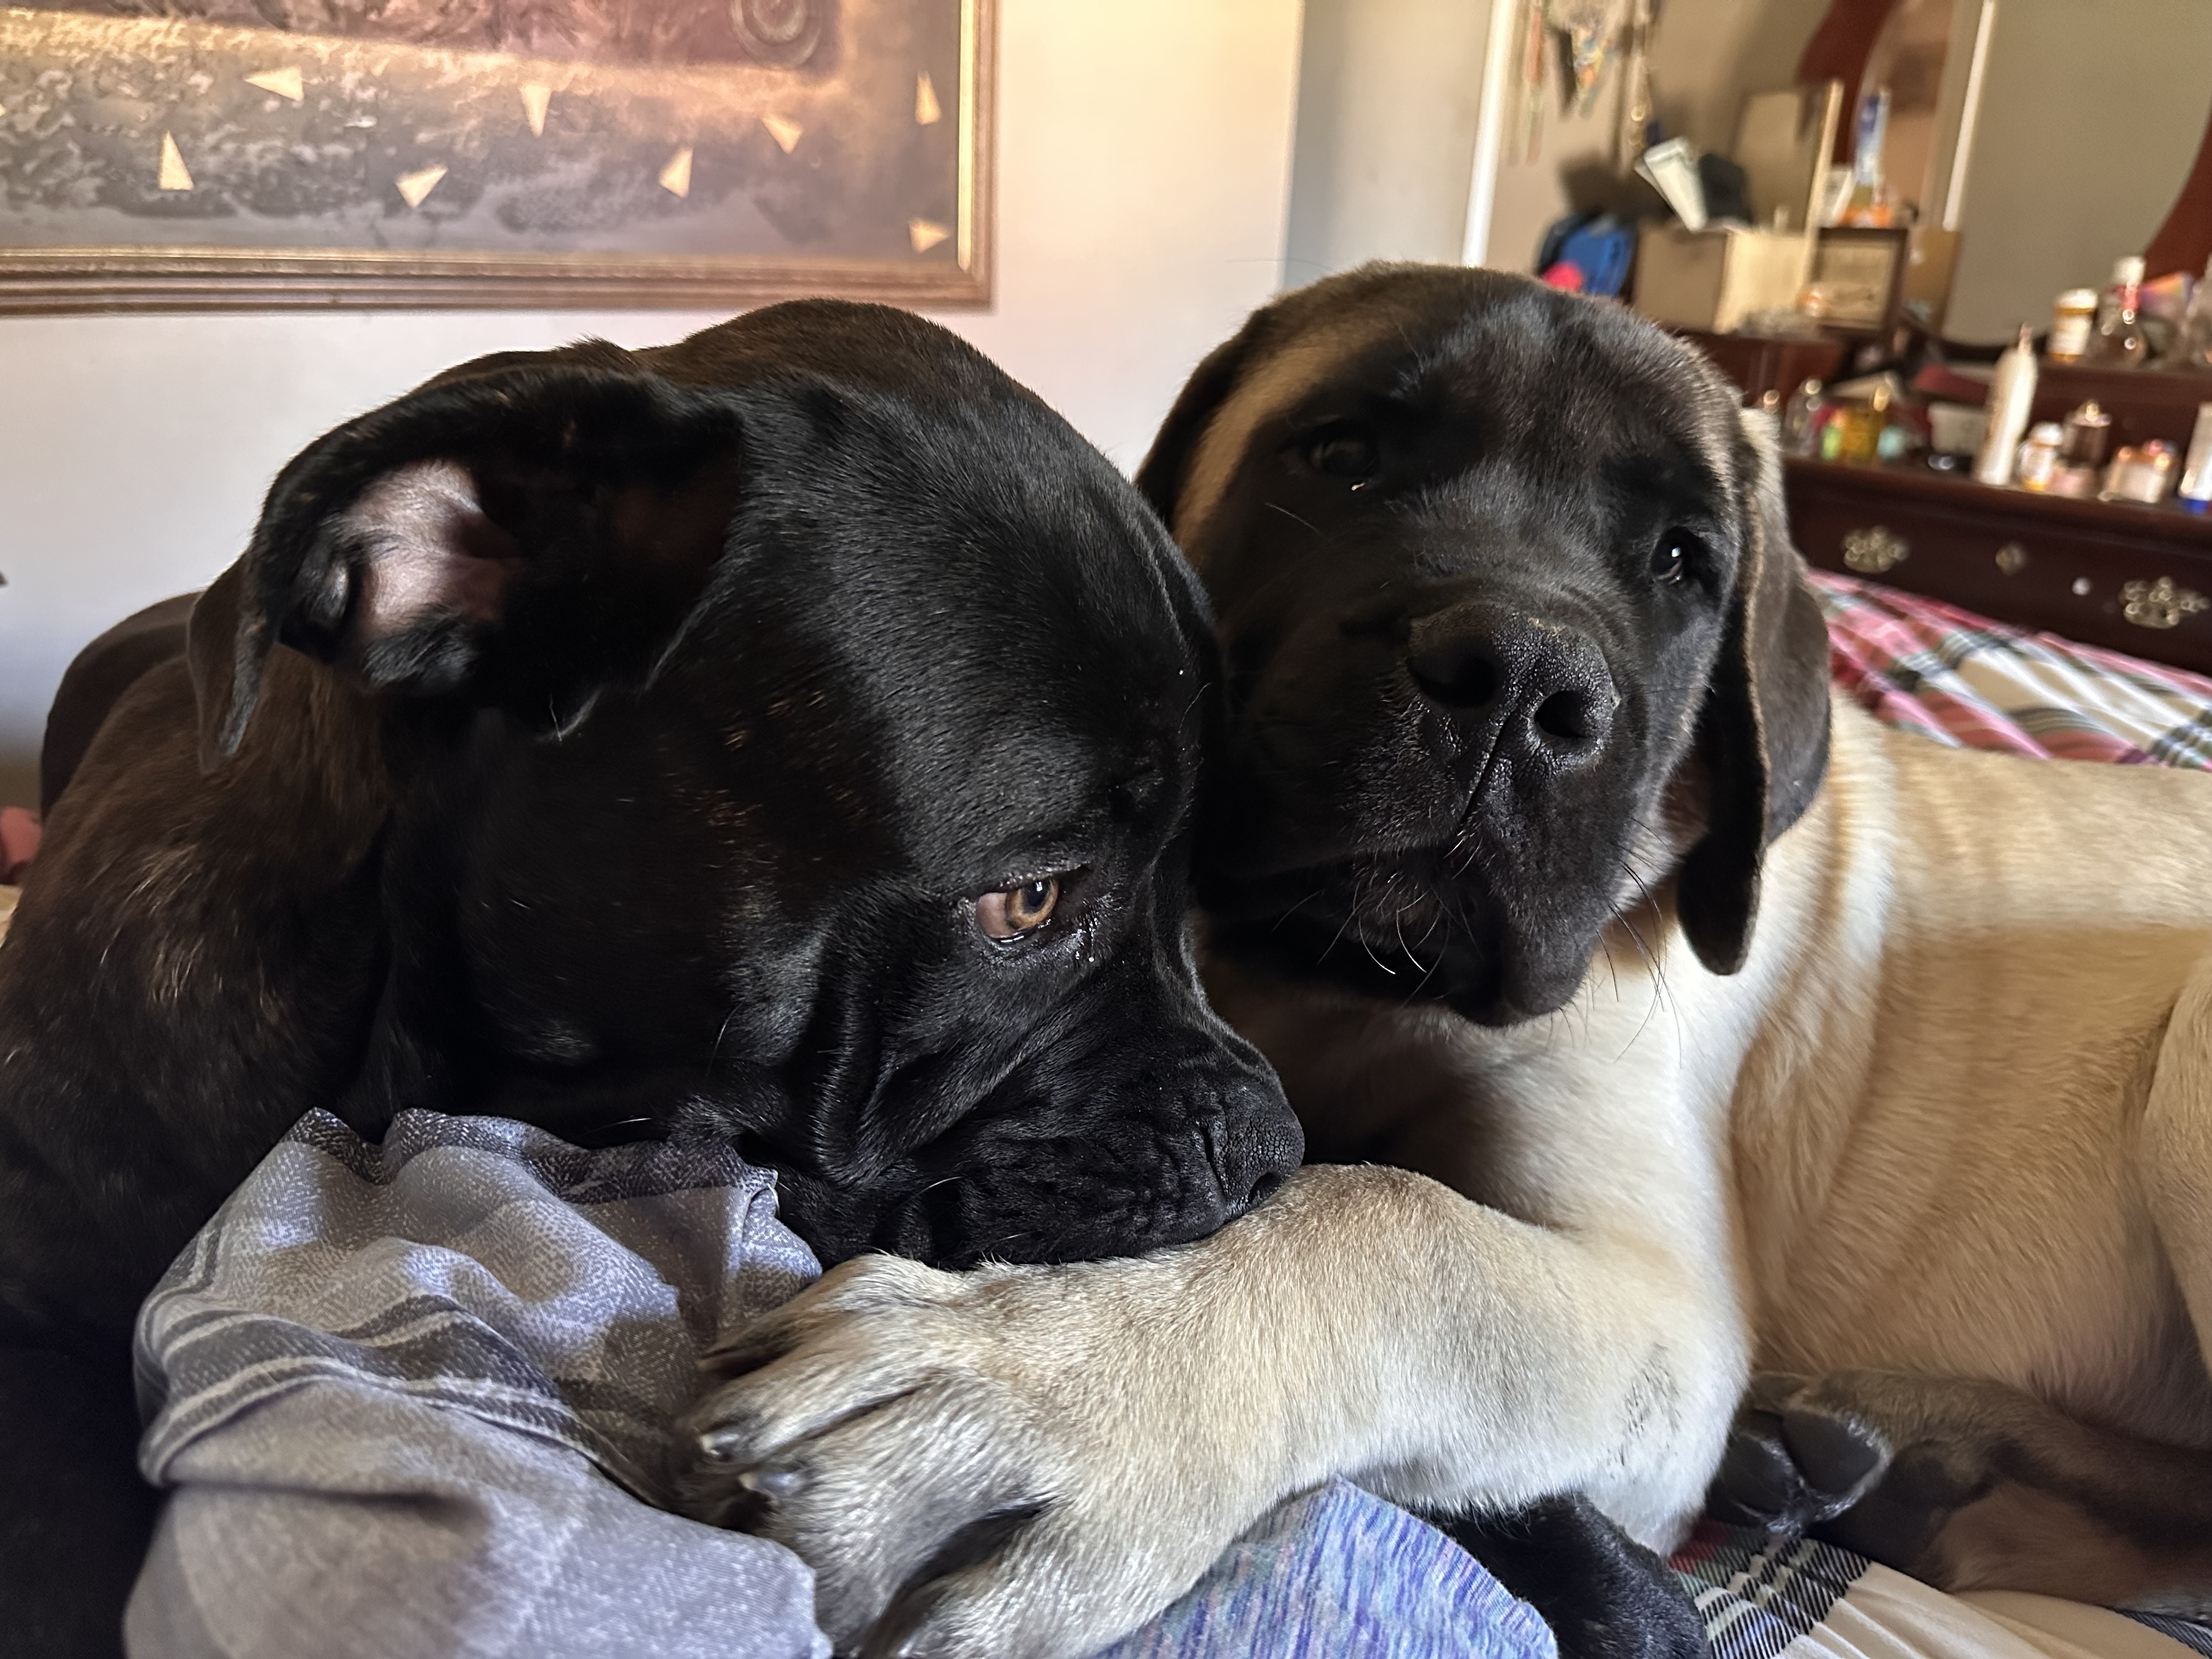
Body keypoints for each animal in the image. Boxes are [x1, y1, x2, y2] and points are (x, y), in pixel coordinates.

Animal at [679, 264, 2212, 1658]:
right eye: (1343, 456)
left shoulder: (1653, 1300)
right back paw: (1902, 1465)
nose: (1522, 683)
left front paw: (1041, 1389)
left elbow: (1385, 1223)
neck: (1328, 982)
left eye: (1682, 562)